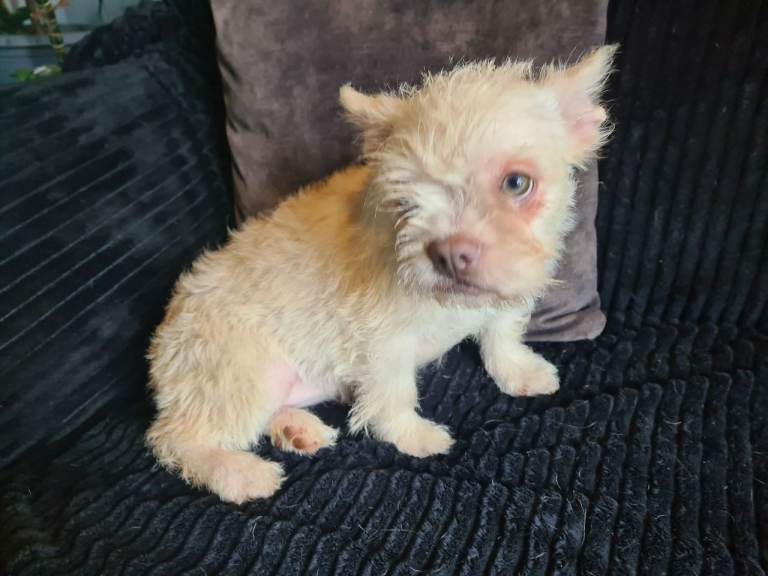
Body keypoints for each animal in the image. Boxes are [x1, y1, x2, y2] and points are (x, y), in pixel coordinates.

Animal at [146, 45, 616, 504]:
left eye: (517, 183)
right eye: (406, 198)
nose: (449, 254)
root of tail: (163, 343)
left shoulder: (503, 296)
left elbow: (501, 332)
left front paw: (517, 370)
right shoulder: (380, 342)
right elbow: (394, 395)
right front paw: (412, 436)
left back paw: (295, 428)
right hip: (245, 374)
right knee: (175, 437)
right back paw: (238, 473)